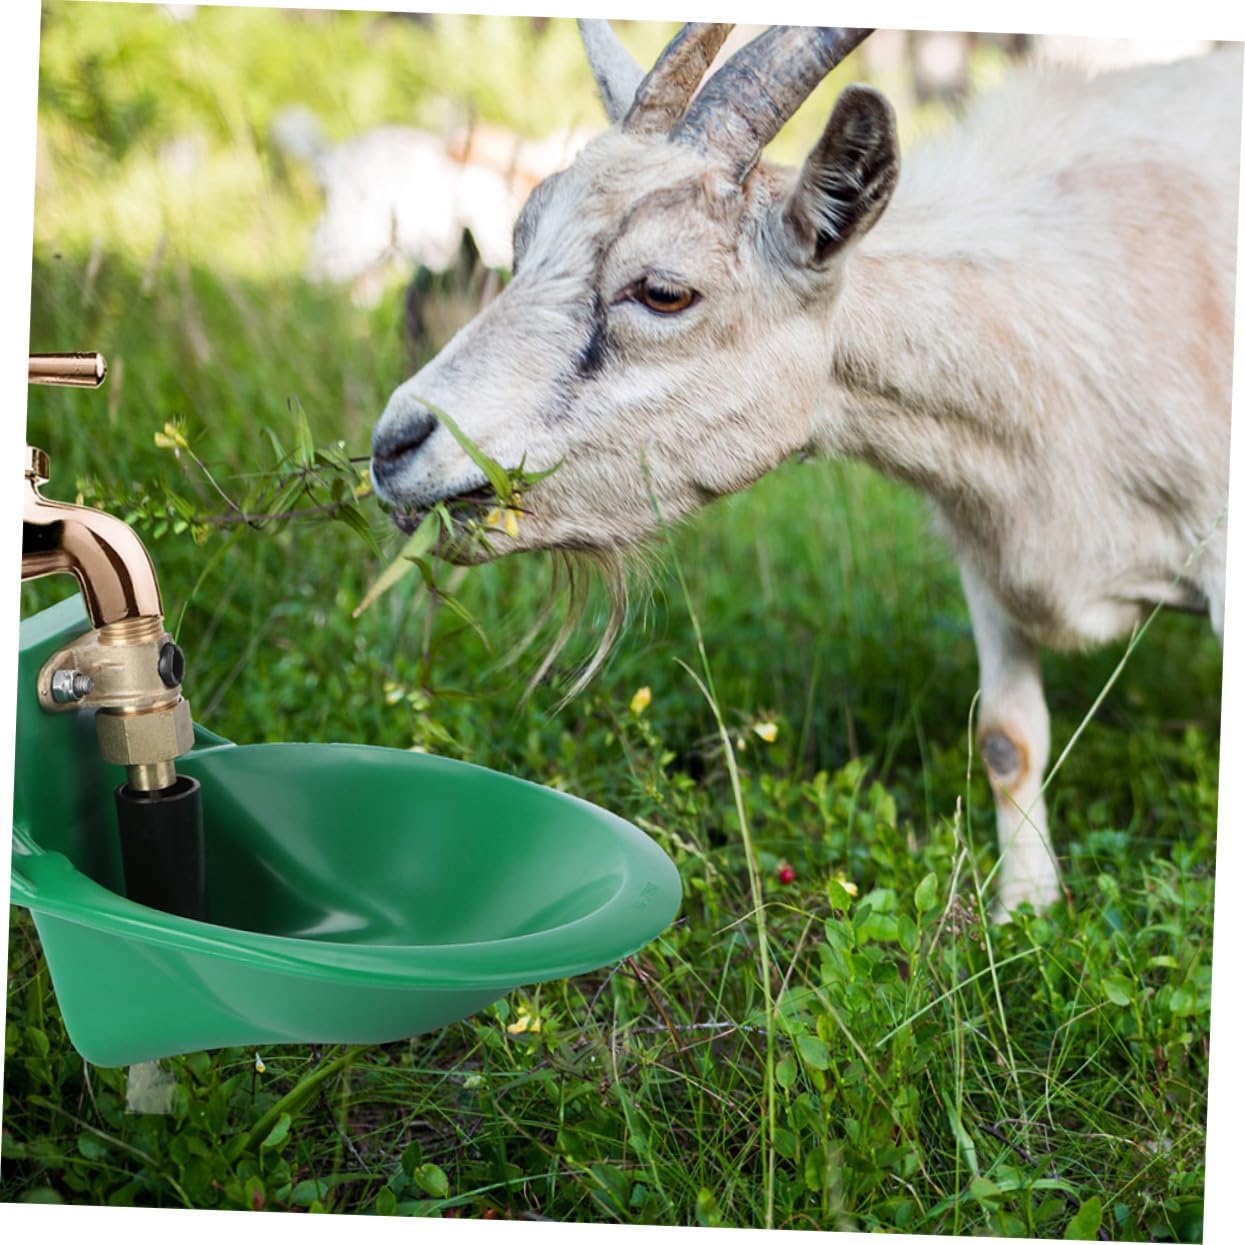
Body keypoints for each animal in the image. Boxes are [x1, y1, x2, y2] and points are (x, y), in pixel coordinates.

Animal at [369, 23, 1239, 916]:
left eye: (664, 290)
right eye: (521, 241)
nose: (397, 444)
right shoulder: (985, 555)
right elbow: (1007, 738)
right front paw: (1024, 915)